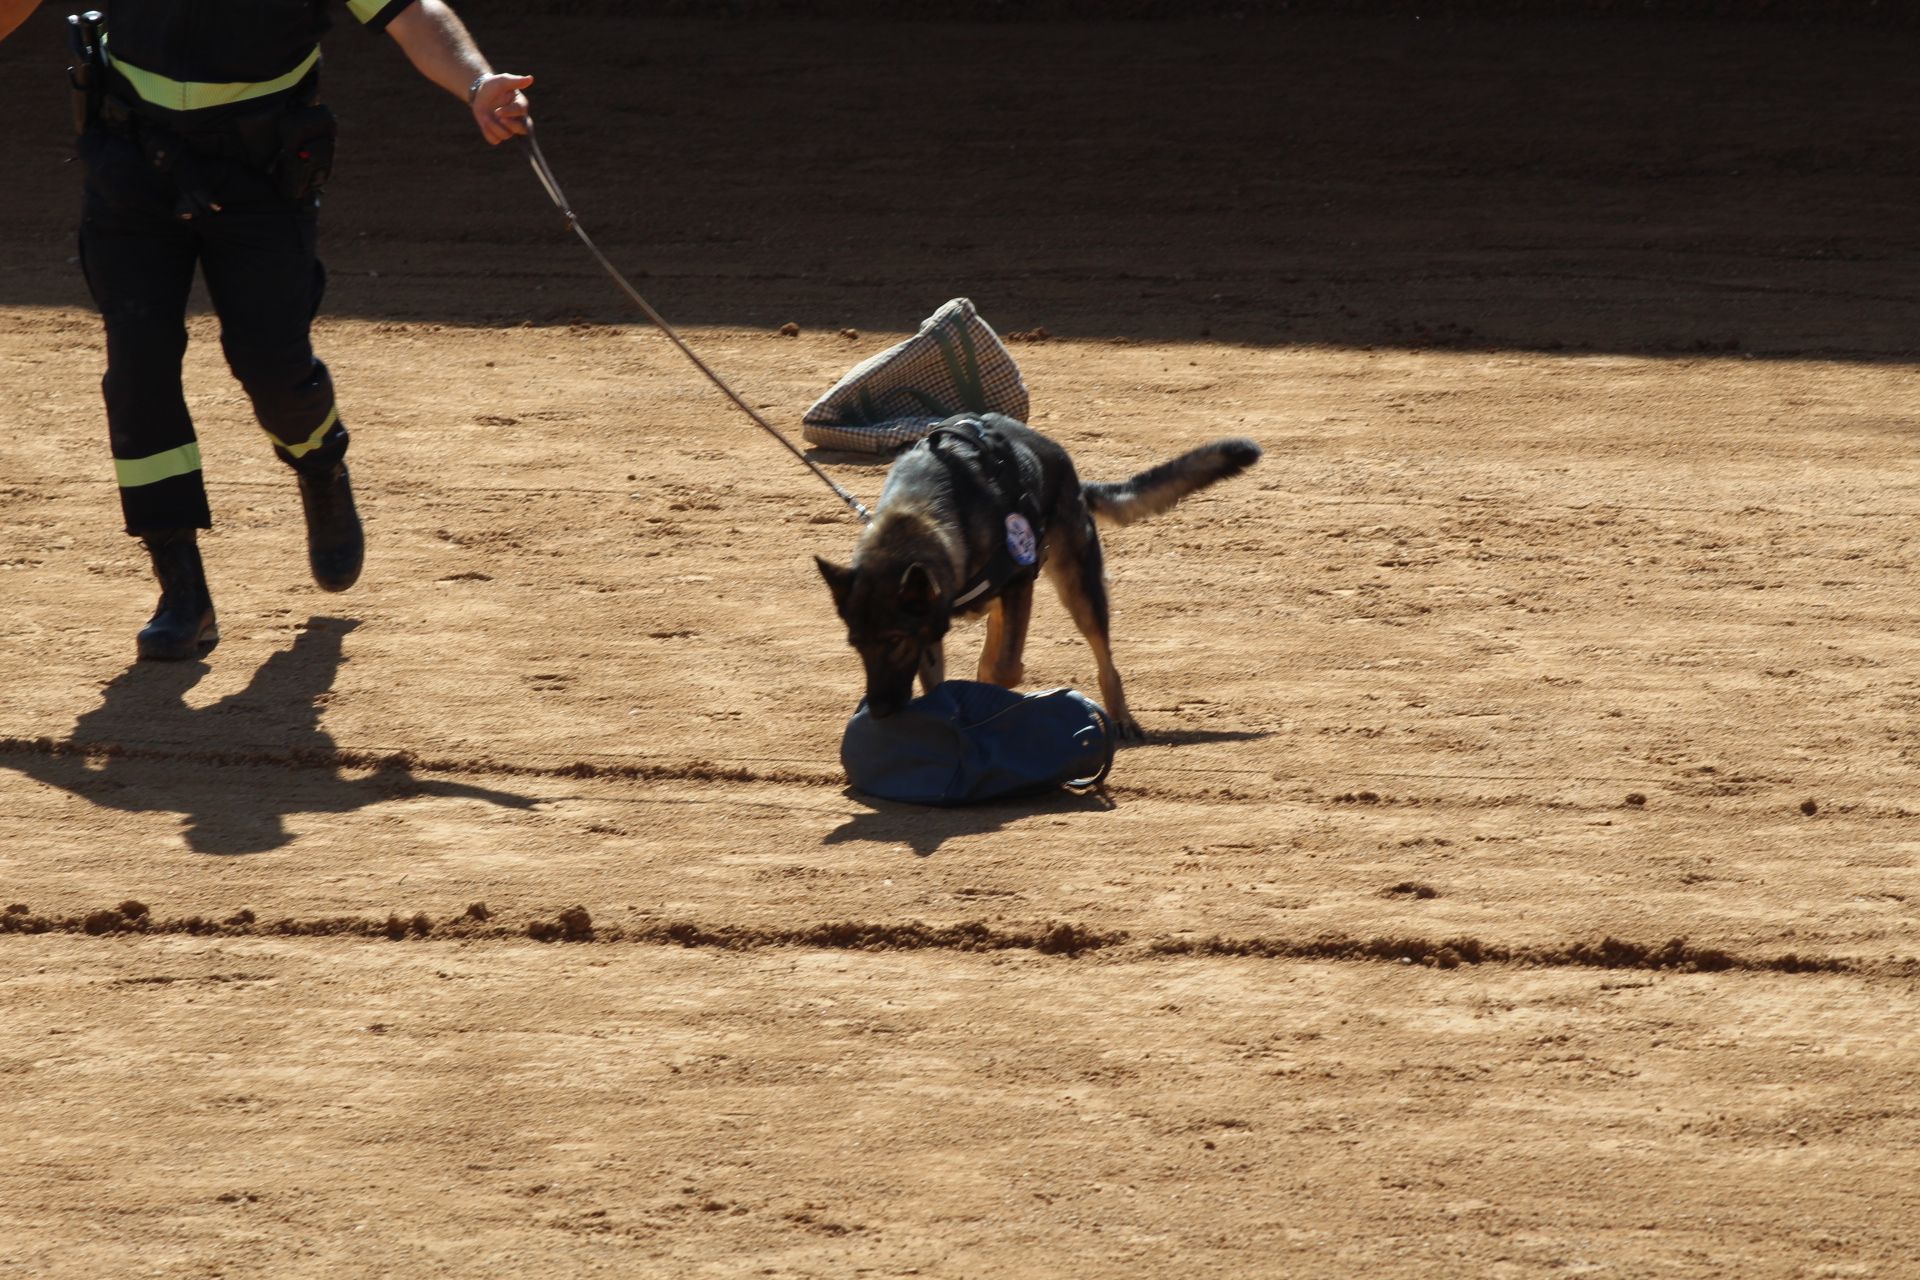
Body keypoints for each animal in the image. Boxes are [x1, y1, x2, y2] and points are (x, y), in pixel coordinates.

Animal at [814, 416, 1251, 740]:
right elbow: (944, 680)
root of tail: (1068, 469)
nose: (880, 711)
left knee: (1104, 658)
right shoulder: (932, 628)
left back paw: (1121, 716)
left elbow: (1006, 668)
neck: (921, 514)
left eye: (894, 641)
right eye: (856, 644)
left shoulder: (1018, 585)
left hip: (1079, 587)